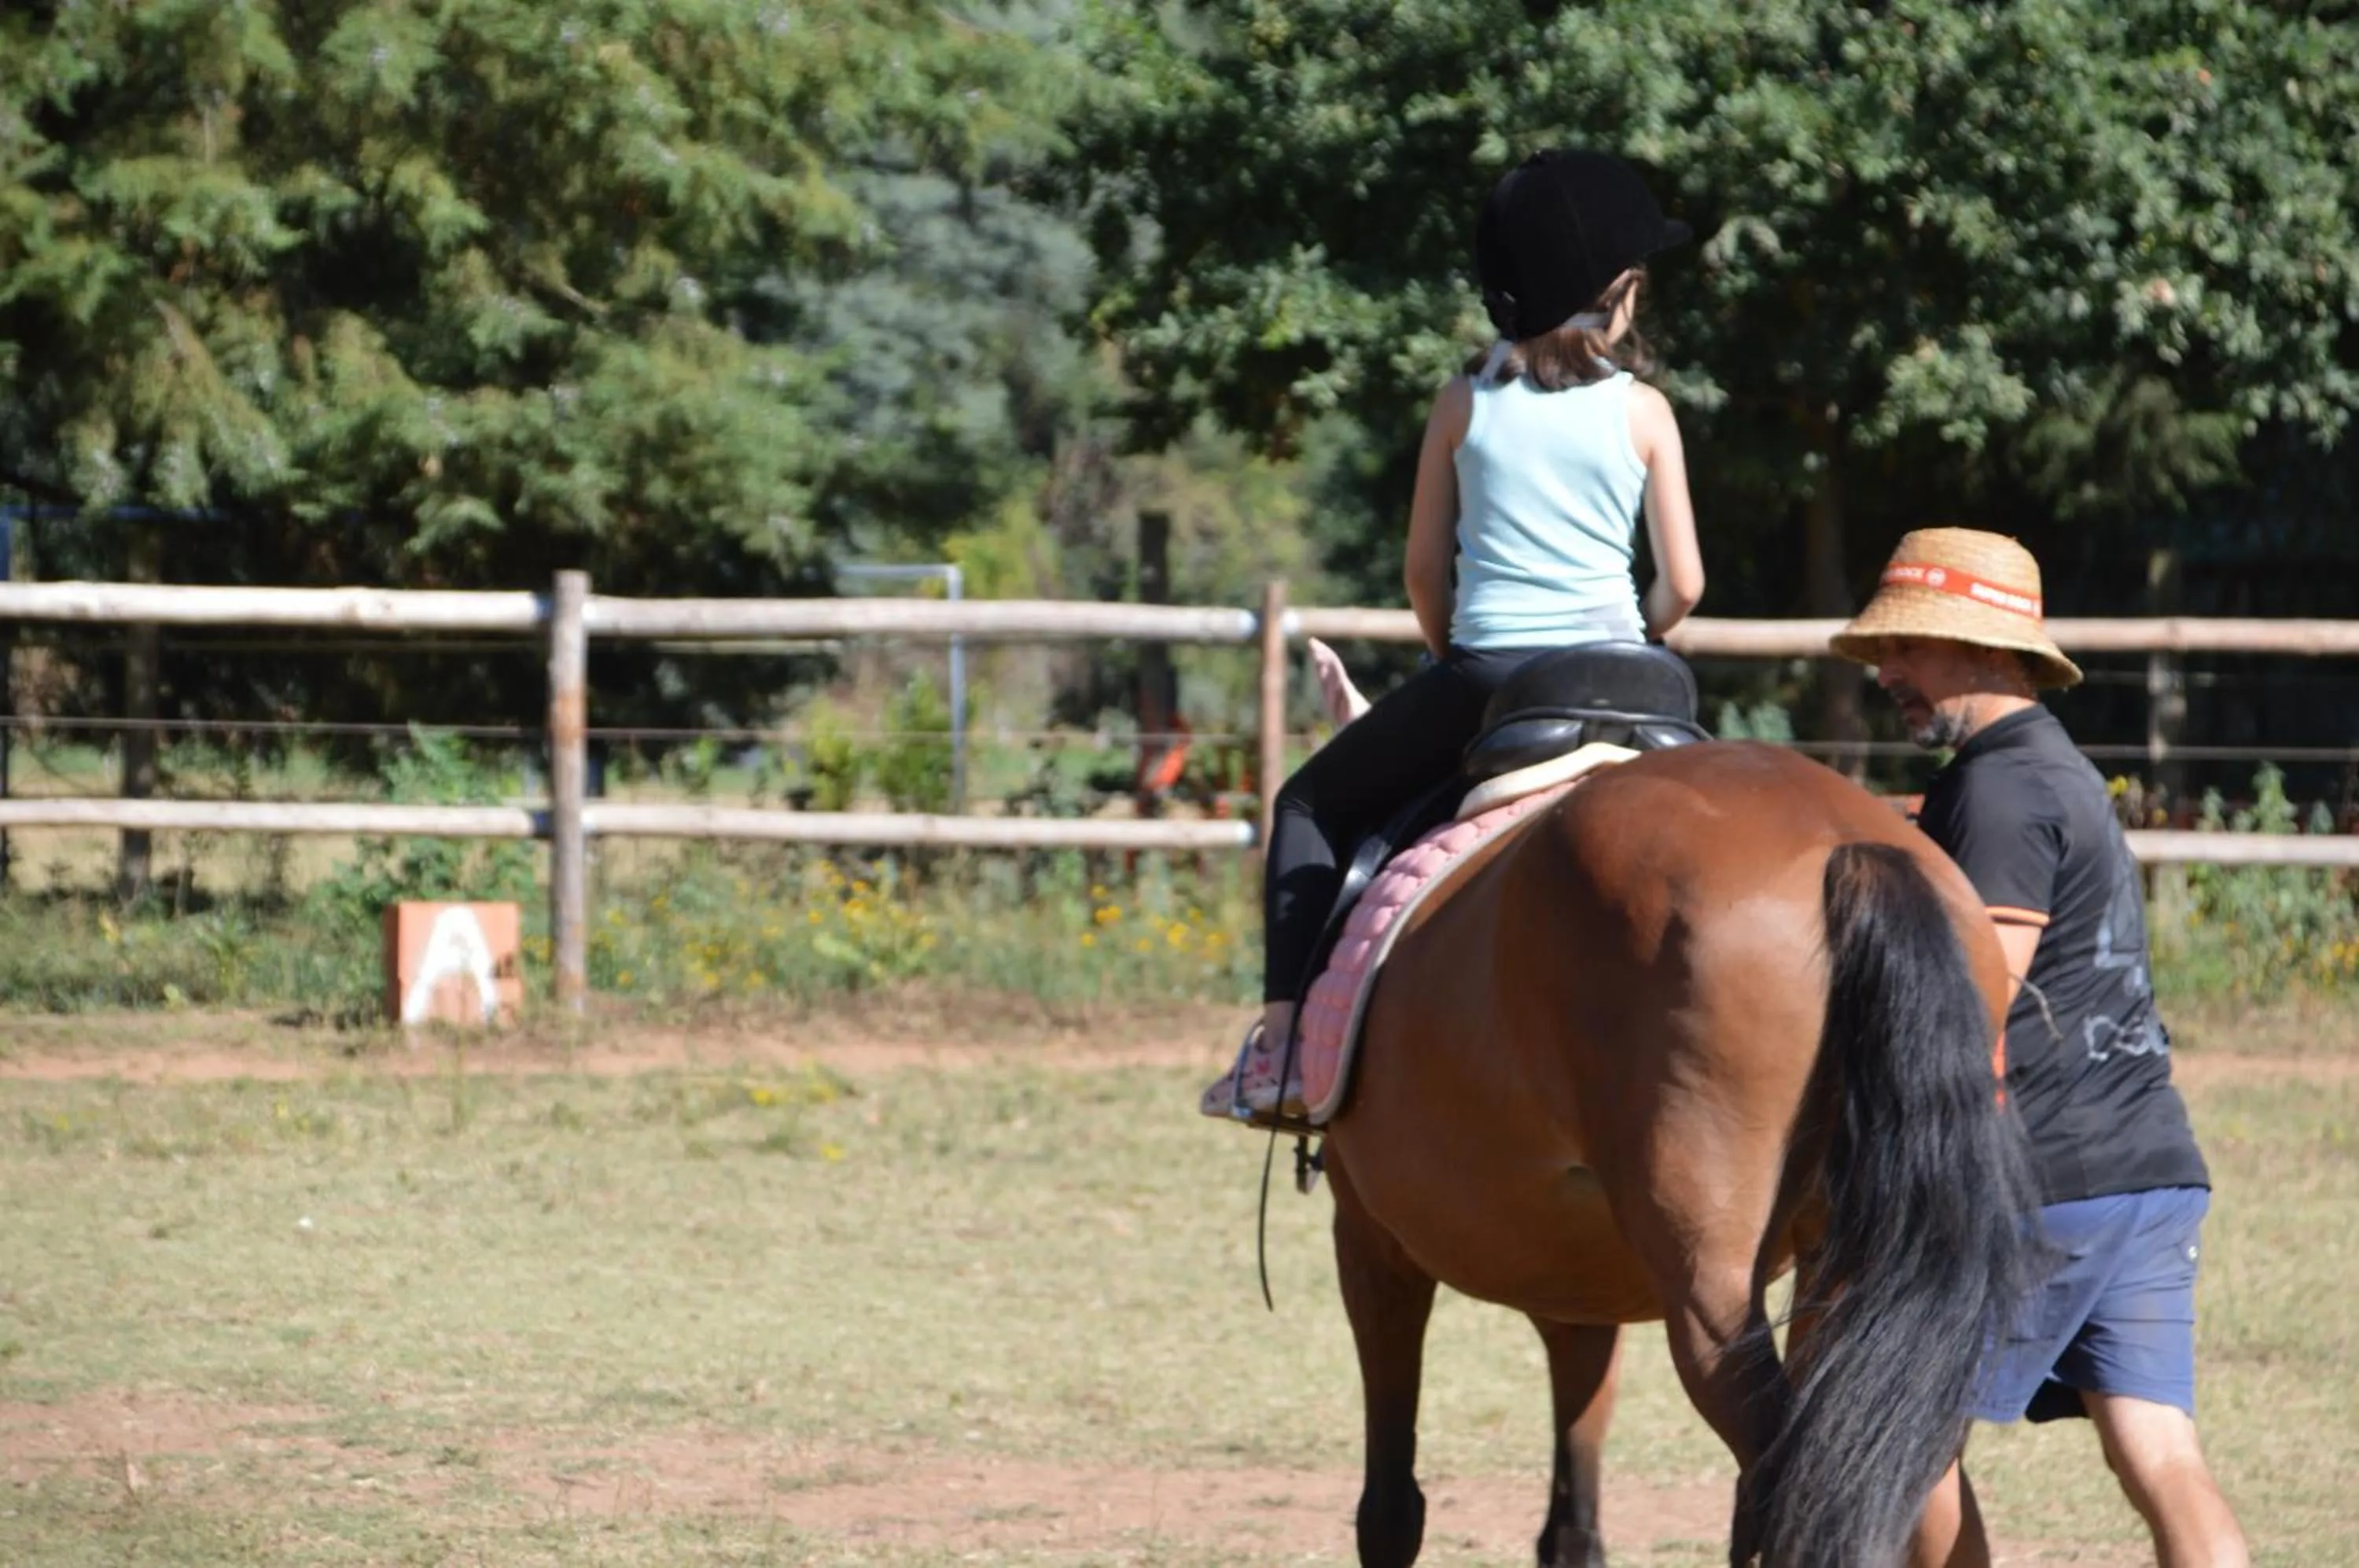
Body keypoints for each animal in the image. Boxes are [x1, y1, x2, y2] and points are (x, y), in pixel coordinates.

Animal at [1317, 739, 2041, 1568]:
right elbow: (1575, 1509)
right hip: (1861, 1274)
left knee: (1797, 1480)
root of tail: (1844, 844)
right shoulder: (1578, 1281)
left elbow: (1391, 1506)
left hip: (1707, 1294)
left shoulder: (1371, 1240)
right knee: (1909, 1483)